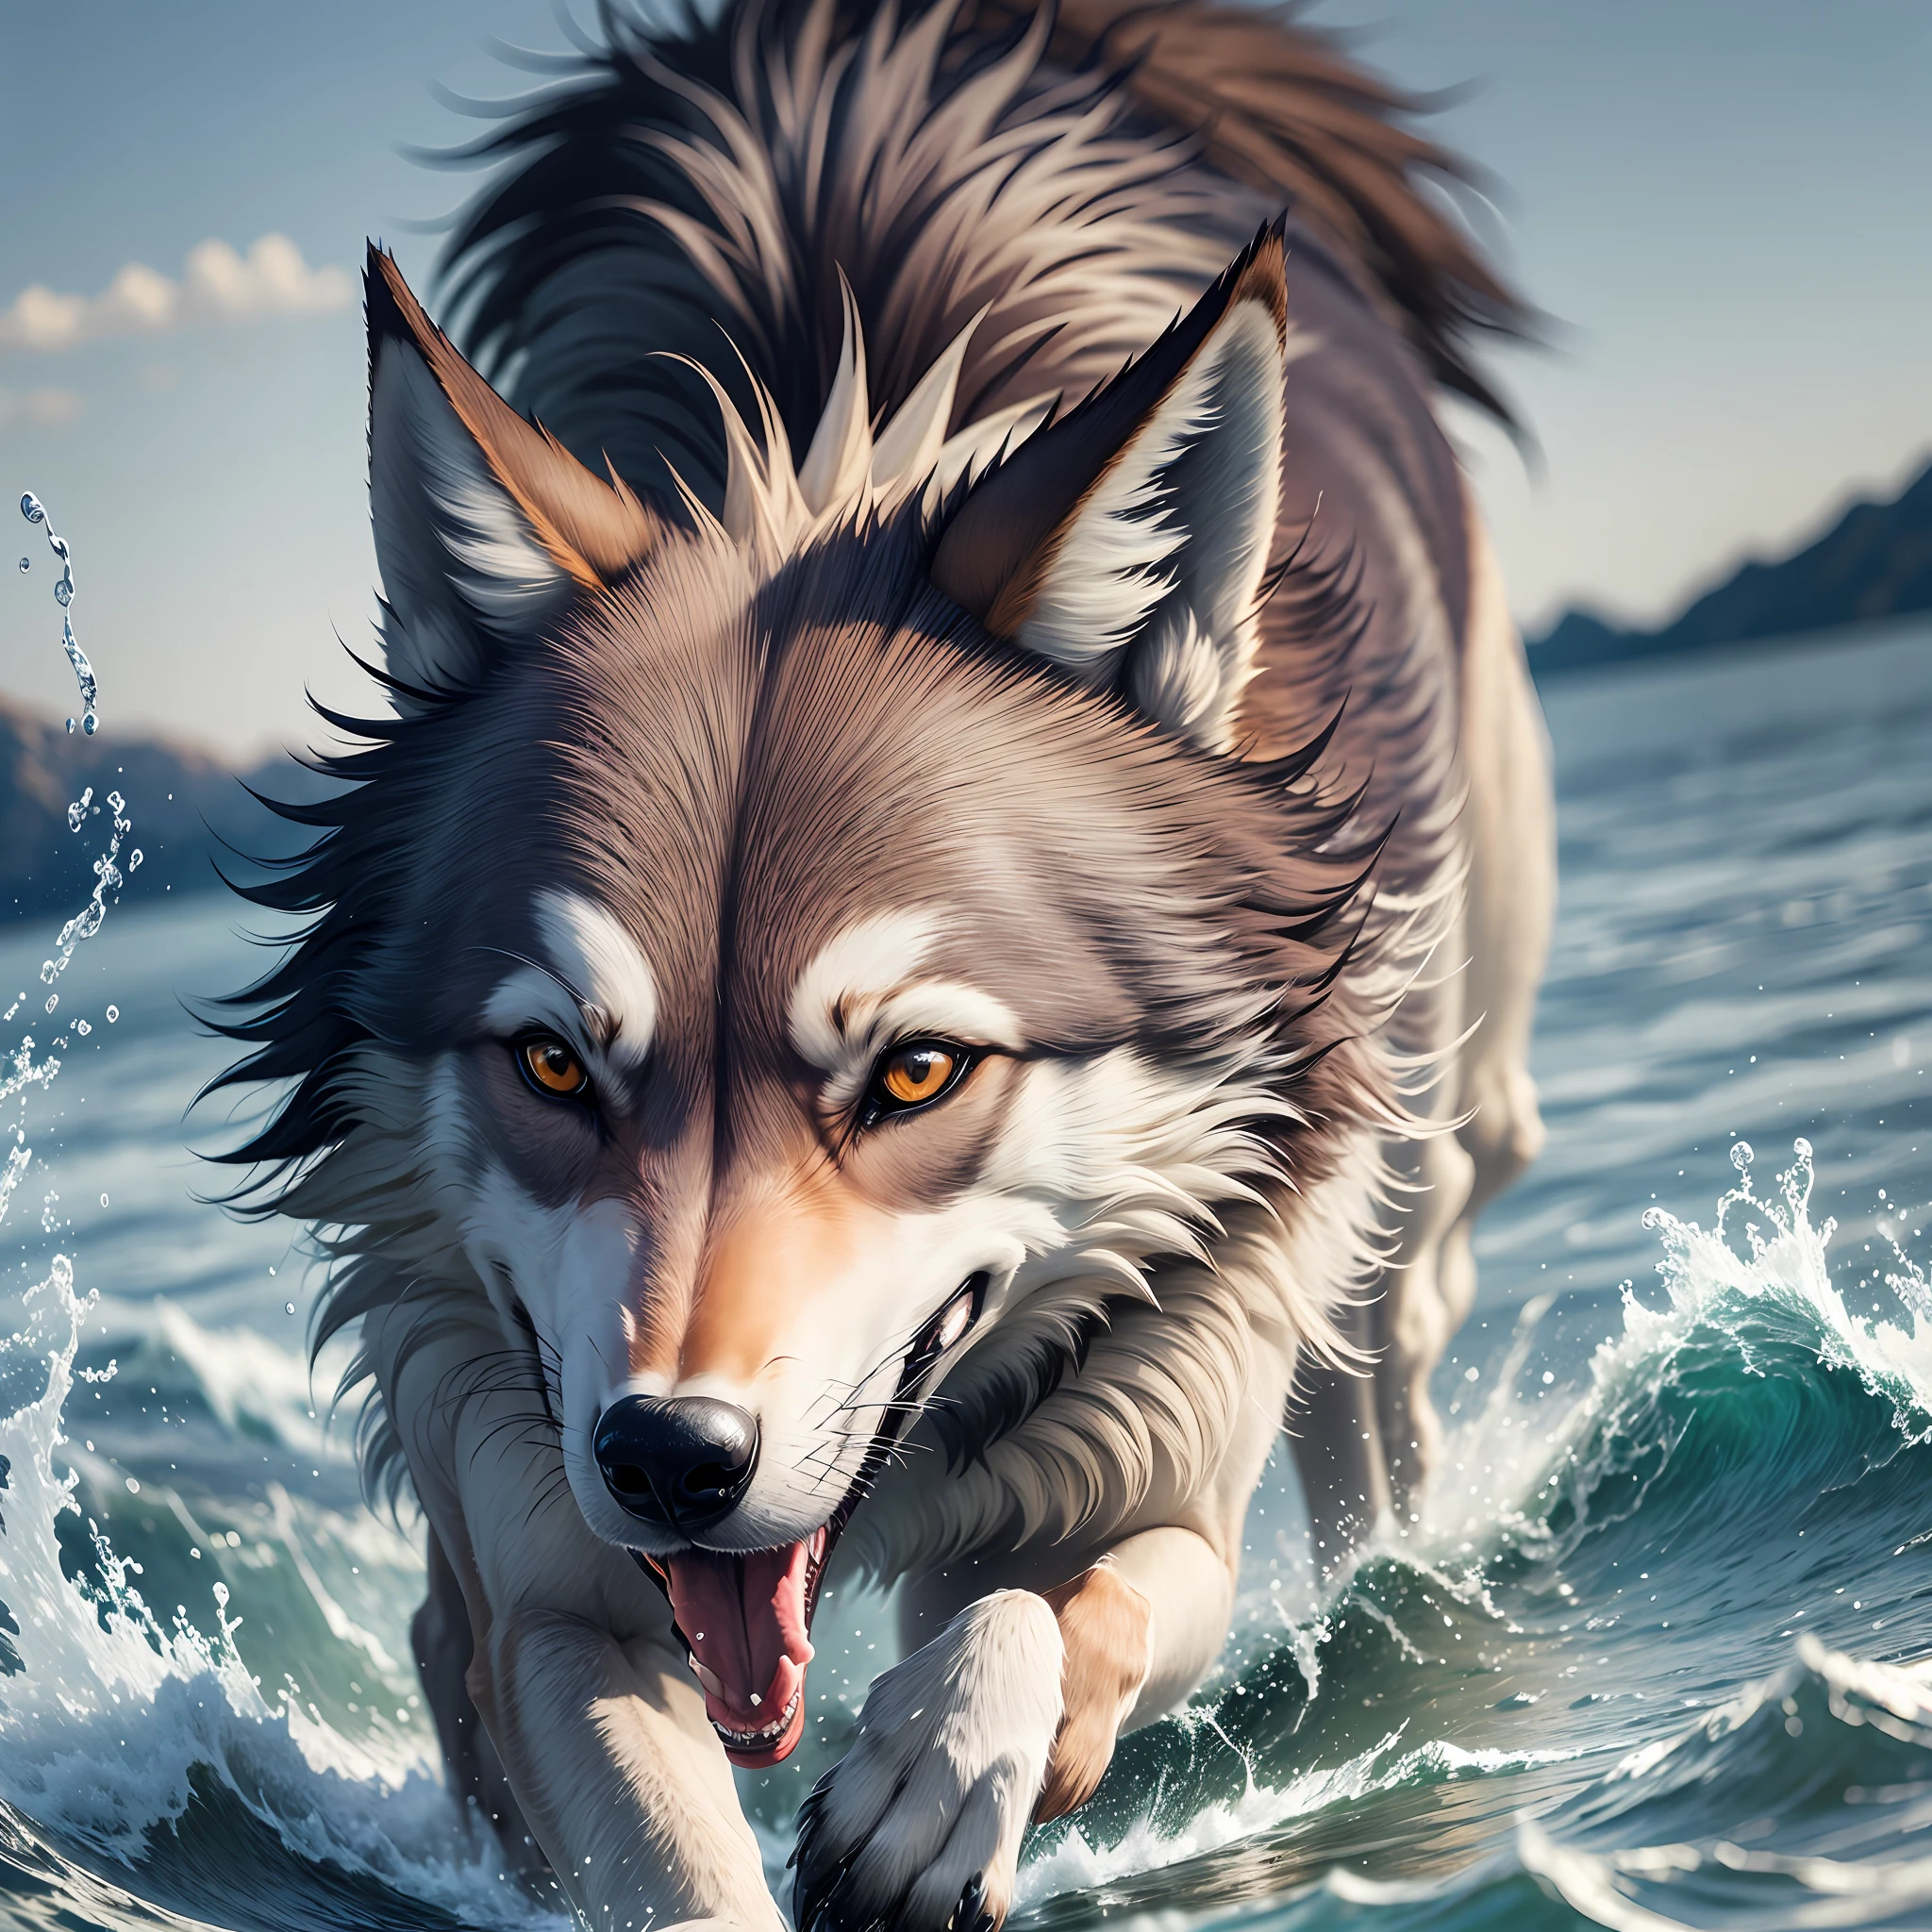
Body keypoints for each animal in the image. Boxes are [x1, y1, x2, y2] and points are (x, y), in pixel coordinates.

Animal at [218, 2, 1551, 1926]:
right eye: (553, 1062)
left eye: (917, 1069)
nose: (671, 1459)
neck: (832, 413)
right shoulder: (544, 1565)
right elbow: (656, 1835)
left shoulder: (1159, 1456)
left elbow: (1058, 1609)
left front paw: (931, 1783)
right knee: (433, 1641)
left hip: (1396, 1209)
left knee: (1378, 1423)